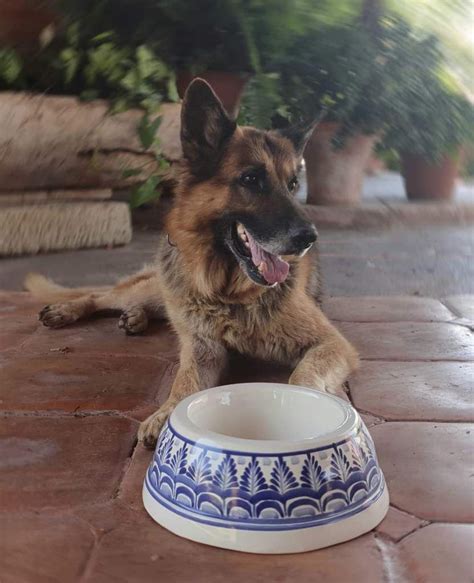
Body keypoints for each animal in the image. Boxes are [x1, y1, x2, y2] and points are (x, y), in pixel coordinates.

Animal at [25, 80, 358, 450]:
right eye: (251, 180)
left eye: (293, 185)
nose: (309, 238)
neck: (229, 294)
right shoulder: (202, 350)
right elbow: (184, 384)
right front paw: (165, 414)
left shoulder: (331, 343)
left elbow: (303, 374)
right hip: (158, 289)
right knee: (104, 296)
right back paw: (71, 310)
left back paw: (135, 318)